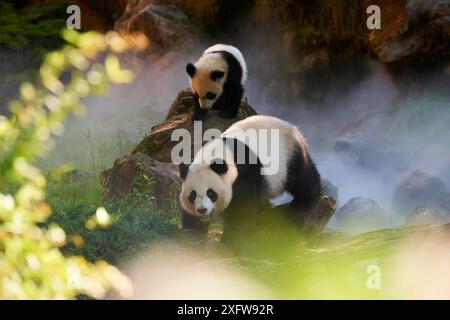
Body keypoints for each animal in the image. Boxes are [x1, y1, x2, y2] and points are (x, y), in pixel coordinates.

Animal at [178, 115, 322, 235]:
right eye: (192, 195)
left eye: (211, 193)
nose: (202, 210)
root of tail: (291, 126)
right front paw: (193, 232)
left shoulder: (245, 173)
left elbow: (242, 209)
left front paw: (232, 237)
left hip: (290, 154)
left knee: (304, 179)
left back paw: (306, 200)